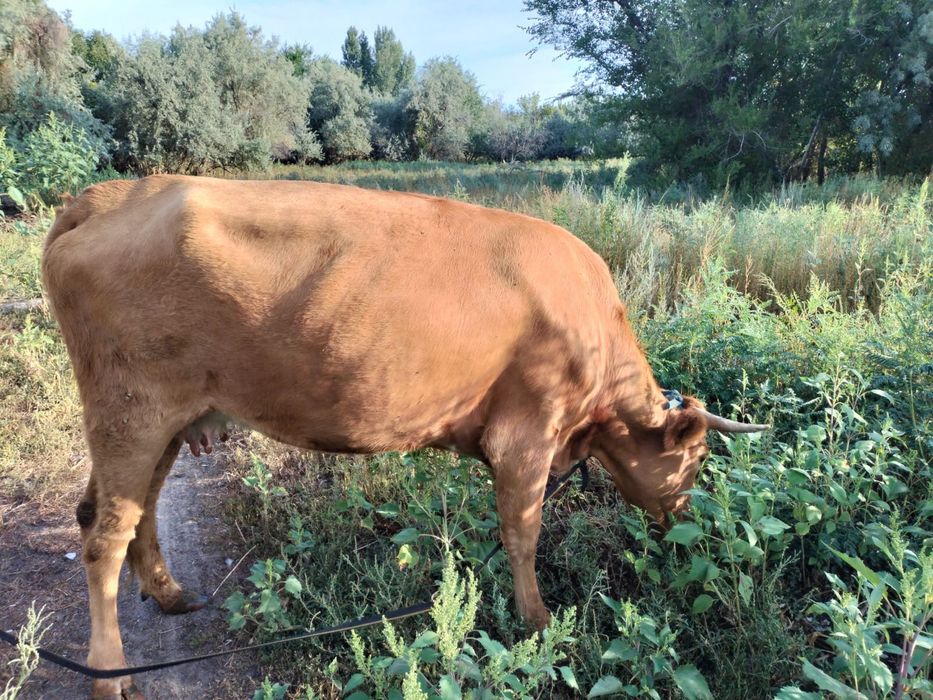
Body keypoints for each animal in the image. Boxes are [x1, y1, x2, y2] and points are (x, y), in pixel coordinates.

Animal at [41, 175, 768, 699]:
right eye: (697, 458)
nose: (682, 519)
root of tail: (105, 195)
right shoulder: (527, 432)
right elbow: (522, 532)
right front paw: (538, 622)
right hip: (132, 410)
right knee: (103, 538)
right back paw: (112, 678)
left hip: (166, 417)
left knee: (131, 511)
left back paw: (168, 594)